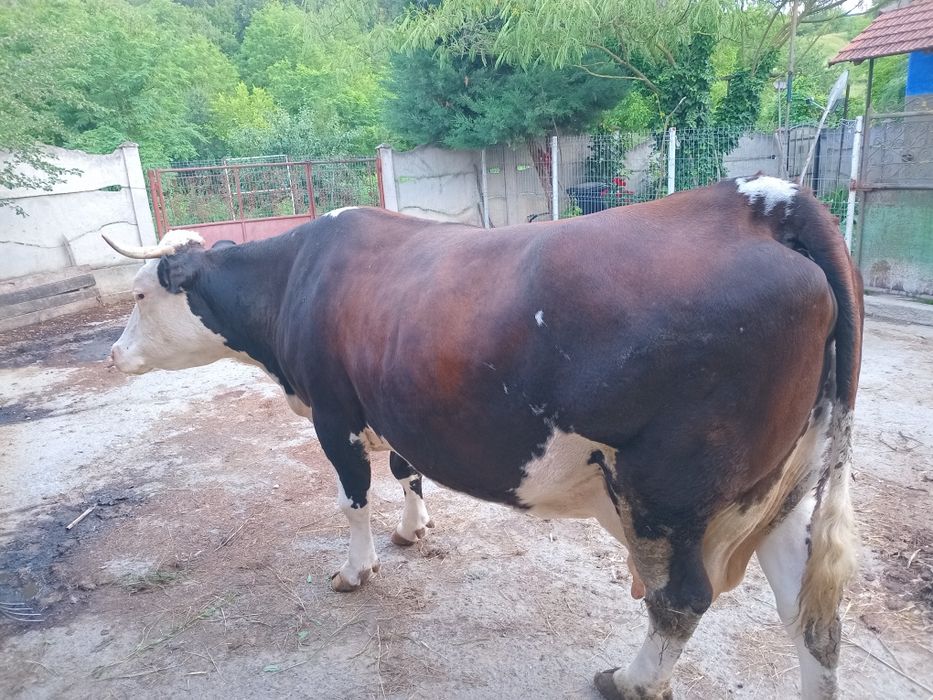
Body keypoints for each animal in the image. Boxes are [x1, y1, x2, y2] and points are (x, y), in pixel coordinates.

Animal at [104, 175, 863, 700]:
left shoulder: (333, 413)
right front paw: (414, 529)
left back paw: (629, 680)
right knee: (810, 615)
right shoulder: (398, 403)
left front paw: (356, 569)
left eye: (140, 295)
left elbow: (352, 500)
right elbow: (406, 470)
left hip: (668, 491)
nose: (110, 355)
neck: (297, 277)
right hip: (791, 487)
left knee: (679, 599)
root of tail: (764, 201)